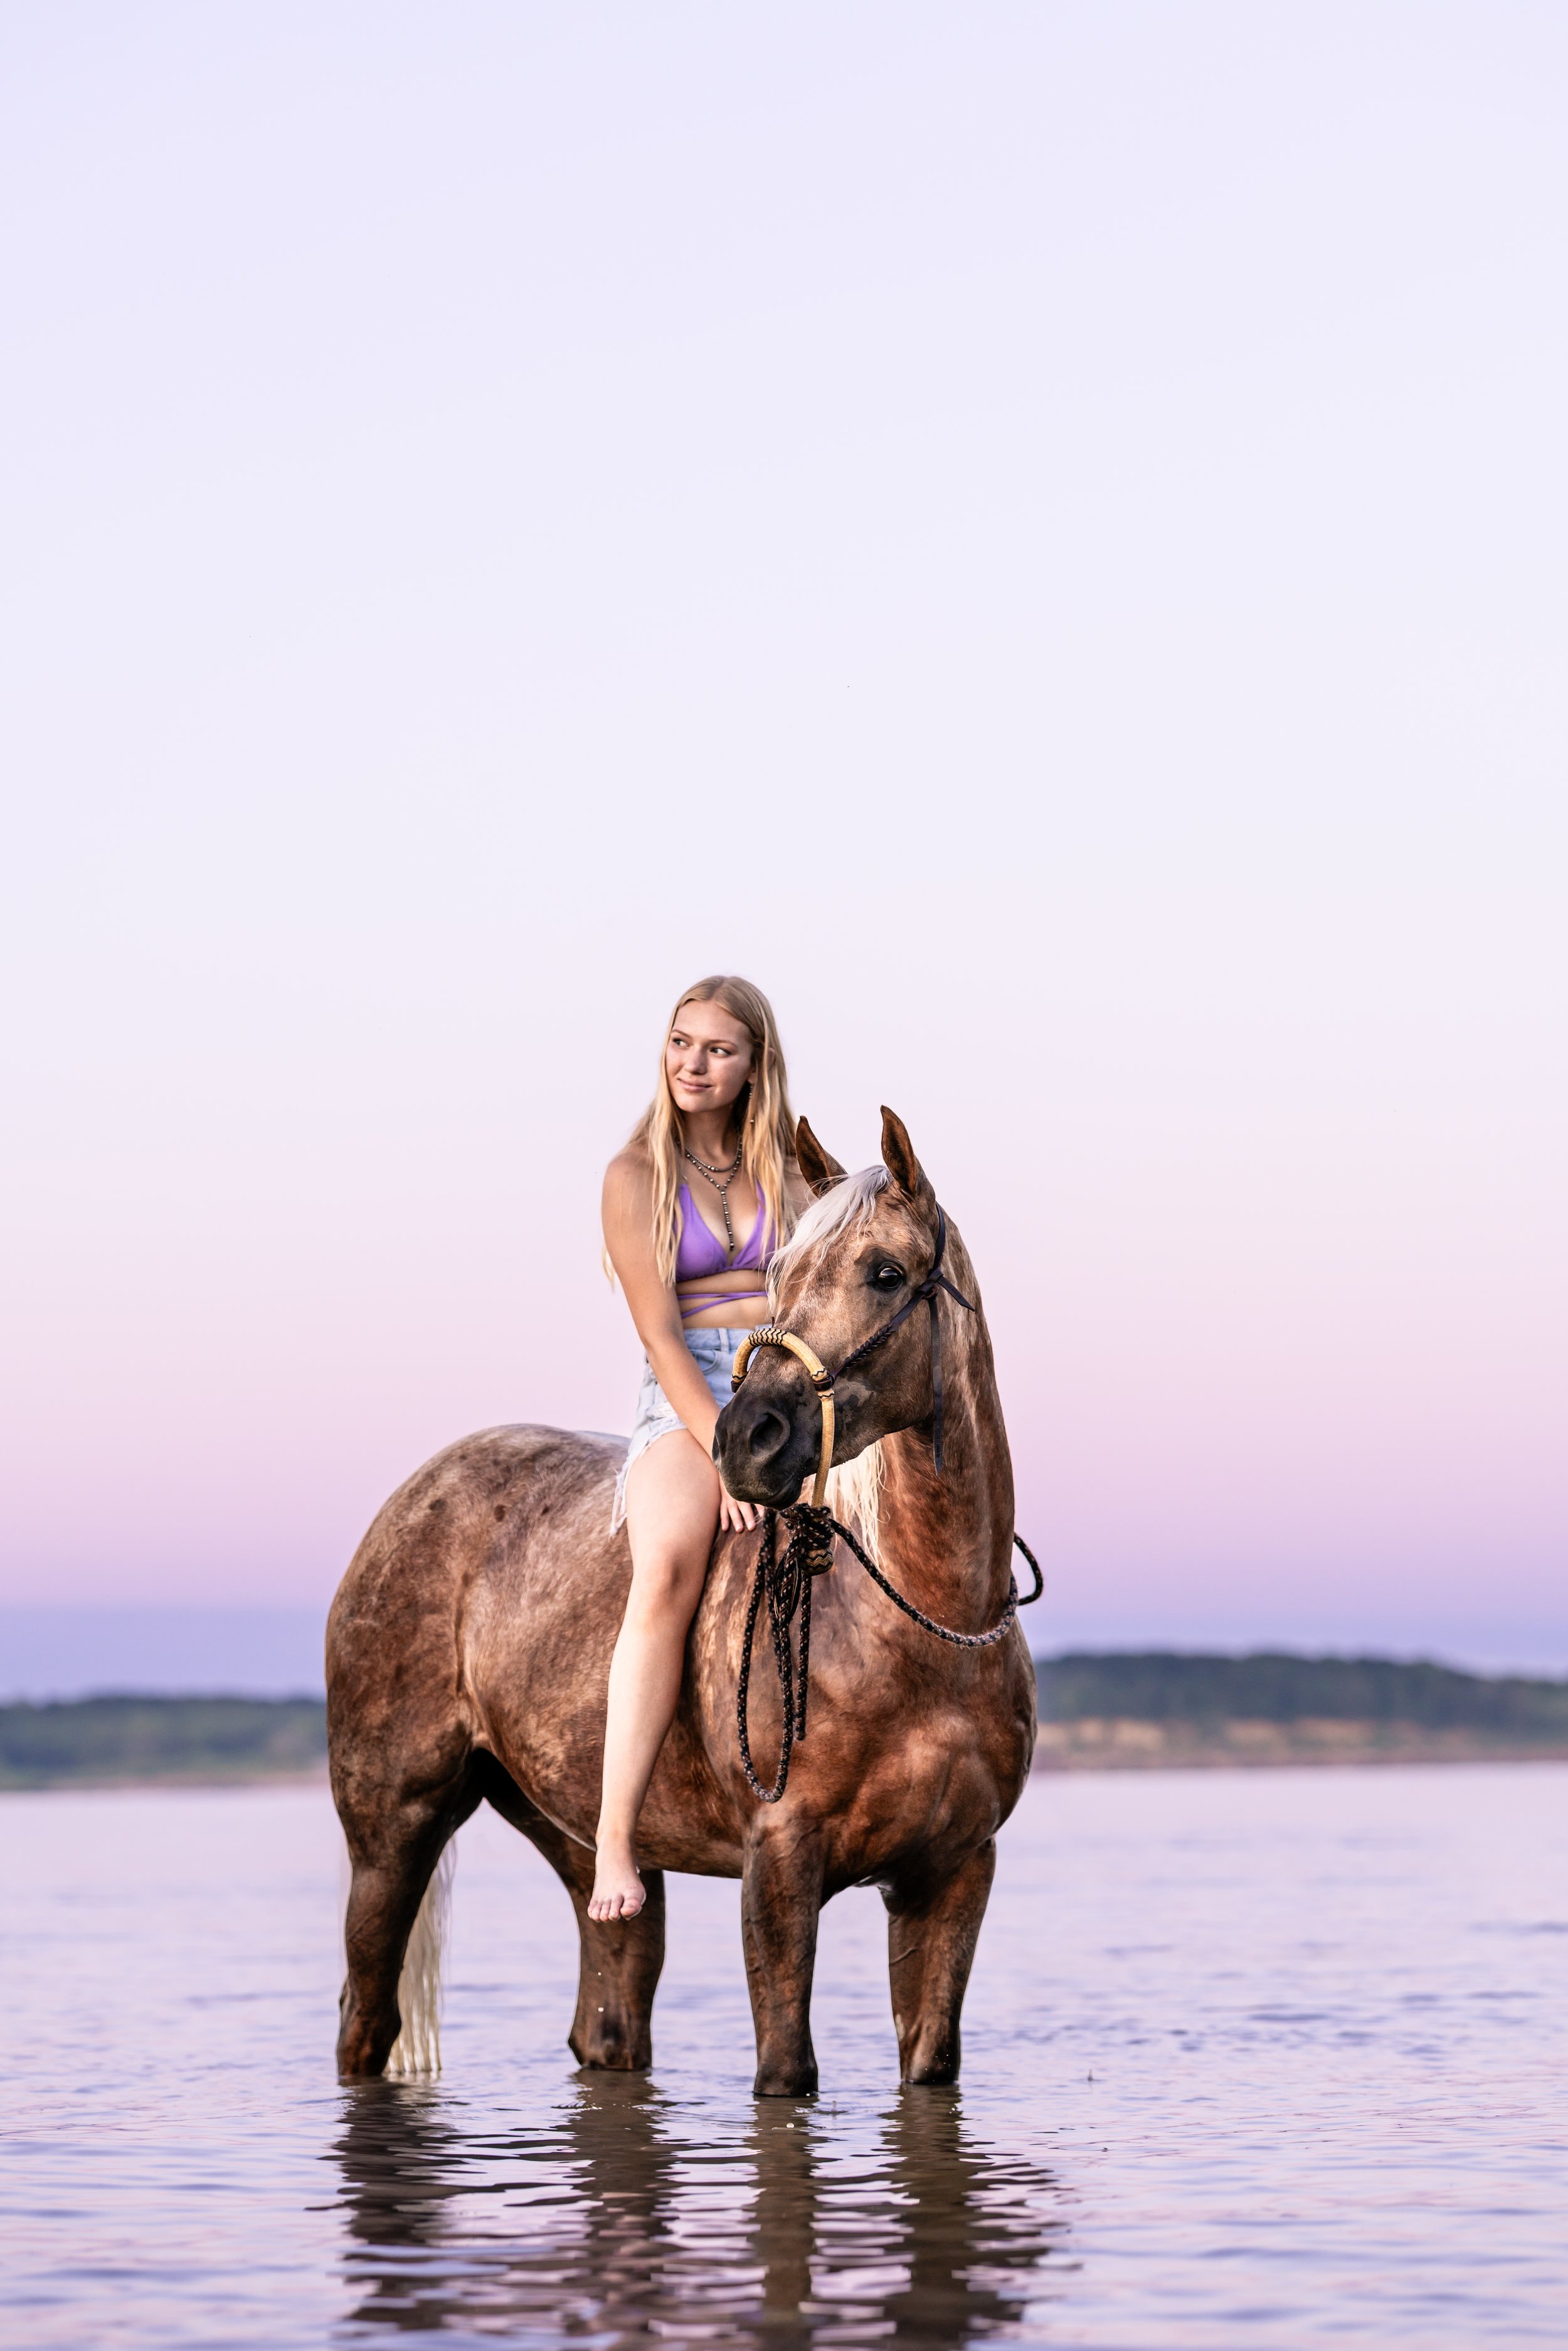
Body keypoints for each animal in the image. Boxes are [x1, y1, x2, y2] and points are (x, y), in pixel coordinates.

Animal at [326, 1108, 1037, 2096]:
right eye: (781, 1276)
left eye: (885, 1273)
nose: (747, 1439)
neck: (923, 1628)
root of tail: (409, 1501)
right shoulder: (780, 1863)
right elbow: (786, 2071)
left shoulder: (954, 1877)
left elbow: (929, 2066)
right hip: (392, 1834)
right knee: (366, 2017)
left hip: (585, 1849)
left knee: (606, 2023)